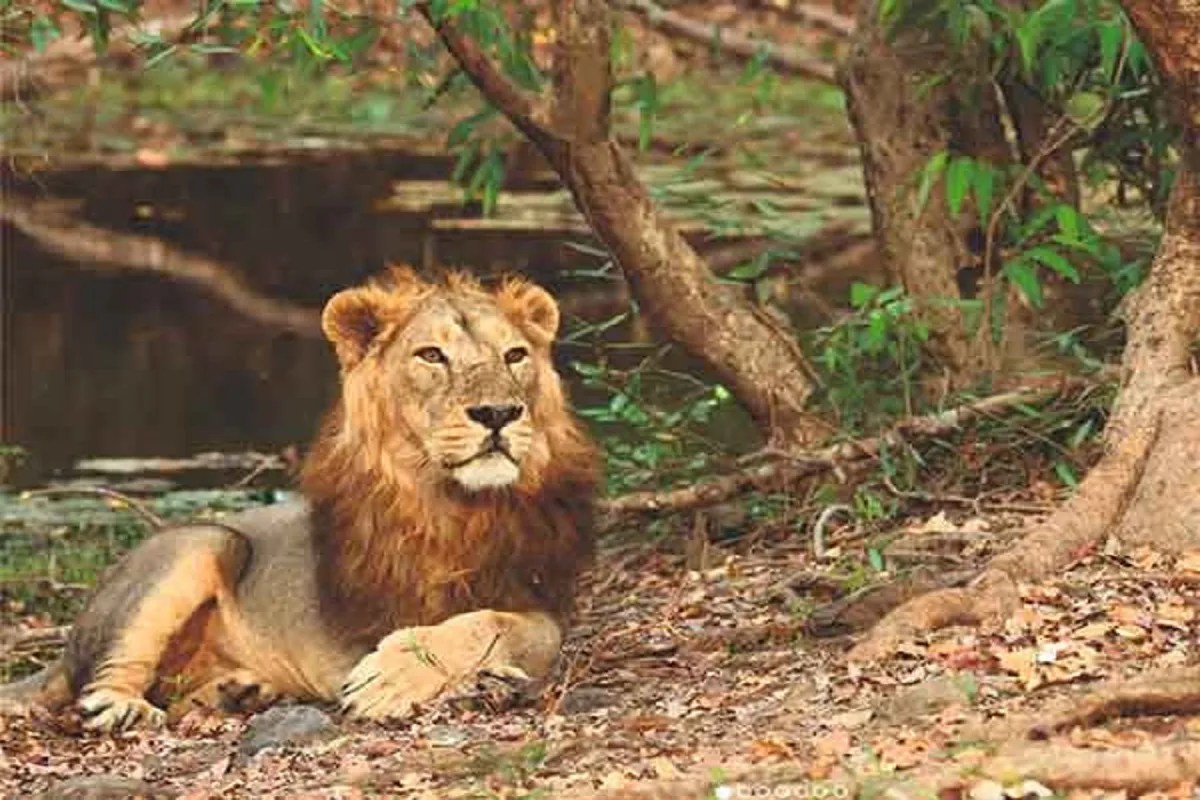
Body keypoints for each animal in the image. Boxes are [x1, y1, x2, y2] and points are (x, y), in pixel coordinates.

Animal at [0, 267, 600, 730]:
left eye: (515, 355)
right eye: (431, 355)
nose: (499, 413)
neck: (460, 504)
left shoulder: (538, 599)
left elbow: (496, 623)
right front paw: (394, 679)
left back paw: (237, 694)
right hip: (202, 541)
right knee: (99, 682)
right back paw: (127, 706)